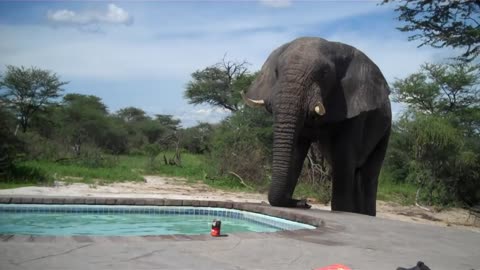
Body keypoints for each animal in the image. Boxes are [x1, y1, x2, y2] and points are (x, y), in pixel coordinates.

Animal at [242, 37, 392, 216]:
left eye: (325, 73)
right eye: (277, 72)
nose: (304, 202)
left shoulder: (356, 110)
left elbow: (344, 153)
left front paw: (342, 210)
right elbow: (297, 149)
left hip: (385, 130)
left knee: (368, 175)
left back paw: (364, 214)